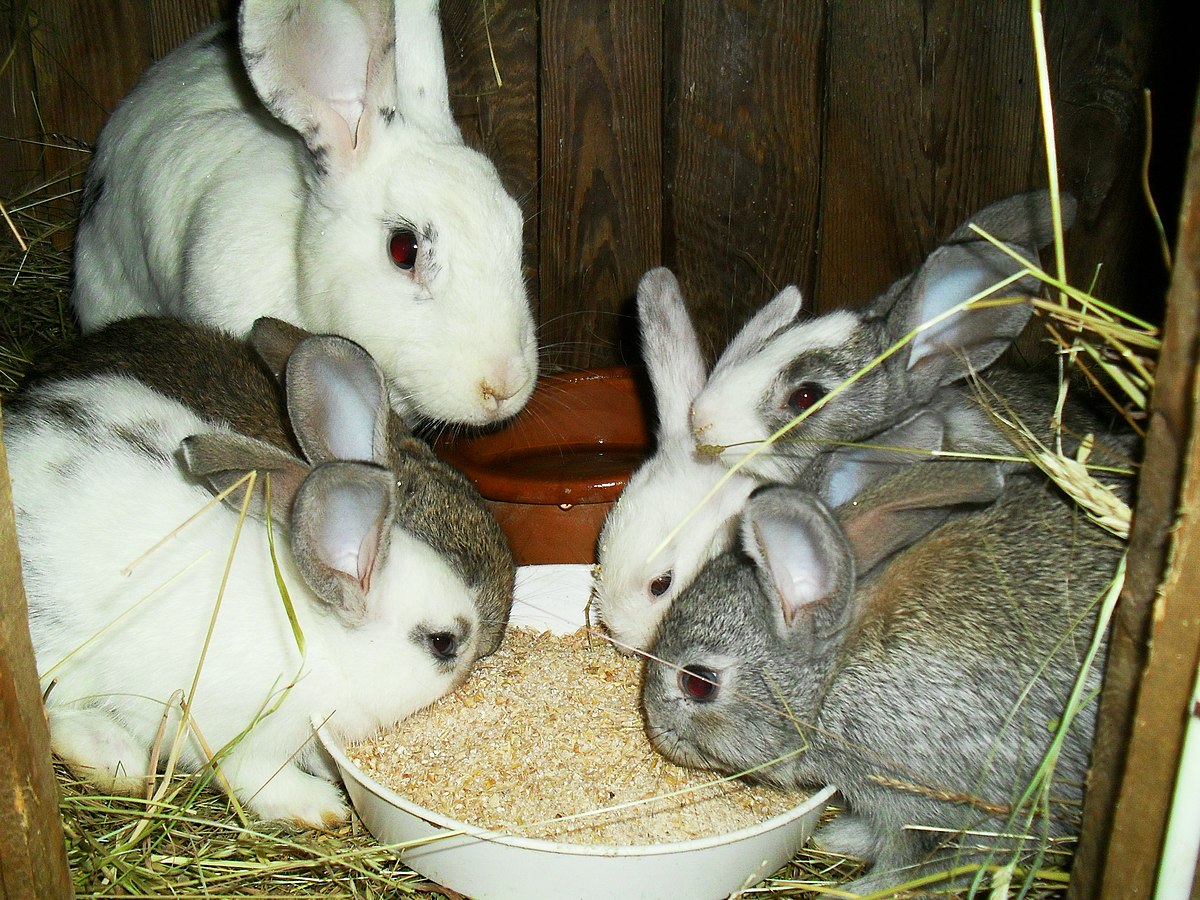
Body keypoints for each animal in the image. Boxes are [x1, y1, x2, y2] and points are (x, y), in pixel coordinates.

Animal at [4, 321, 513, 830]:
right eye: (443, 642)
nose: (480, 658)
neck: (327, 647)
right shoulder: (228, 732)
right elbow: (254, 775)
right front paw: (322, 806)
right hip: (65, 661)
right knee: (58, 711)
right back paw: (116, 760)